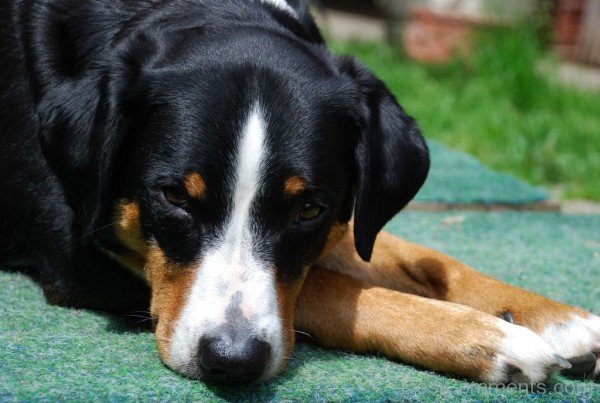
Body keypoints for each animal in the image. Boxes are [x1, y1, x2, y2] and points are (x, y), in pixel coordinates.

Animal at [0, 0, 596, 388]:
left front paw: (557, 318)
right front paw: (491, 338)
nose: (232, 360)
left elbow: (425, 259)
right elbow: (333, 290)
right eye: (173, 197)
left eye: (308, 208)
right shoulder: (78, 256)